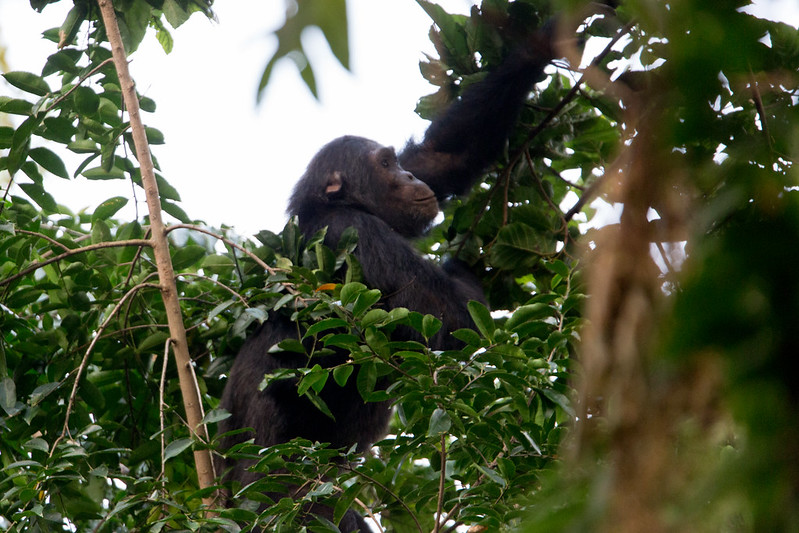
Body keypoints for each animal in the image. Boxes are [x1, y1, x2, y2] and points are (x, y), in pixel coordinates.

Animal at [216, 18, 560, 528]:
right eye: (383, 164)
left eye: (397, 160)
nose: (408, 177)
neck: (337, 205)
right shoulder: (358, 233)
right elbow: (447, 316)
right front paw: (459, 265)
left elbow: (444, 156)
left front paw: (545, 41)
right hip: (276, 479)